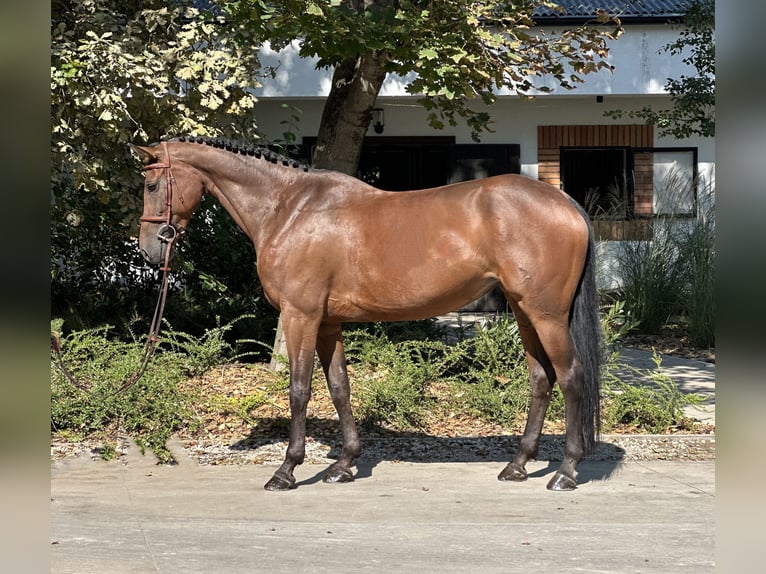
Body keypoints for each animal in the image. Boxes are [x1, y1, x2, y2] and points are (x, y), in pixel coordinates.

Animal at [135, 137, 608, 492]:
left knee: (571, 378)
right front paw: (344, 465)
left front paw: (286, 470)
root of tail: (565, 203)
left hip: (547, 315)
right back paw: (517, 465)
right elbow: (340, 388)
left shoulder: (300, 316)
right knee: (541, 380)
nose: (150, 250)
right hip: (526, 314)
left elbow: (299, 390)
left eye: (153, 185)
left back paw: (565, 472)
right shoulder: (328, 323)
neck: (289, 208)